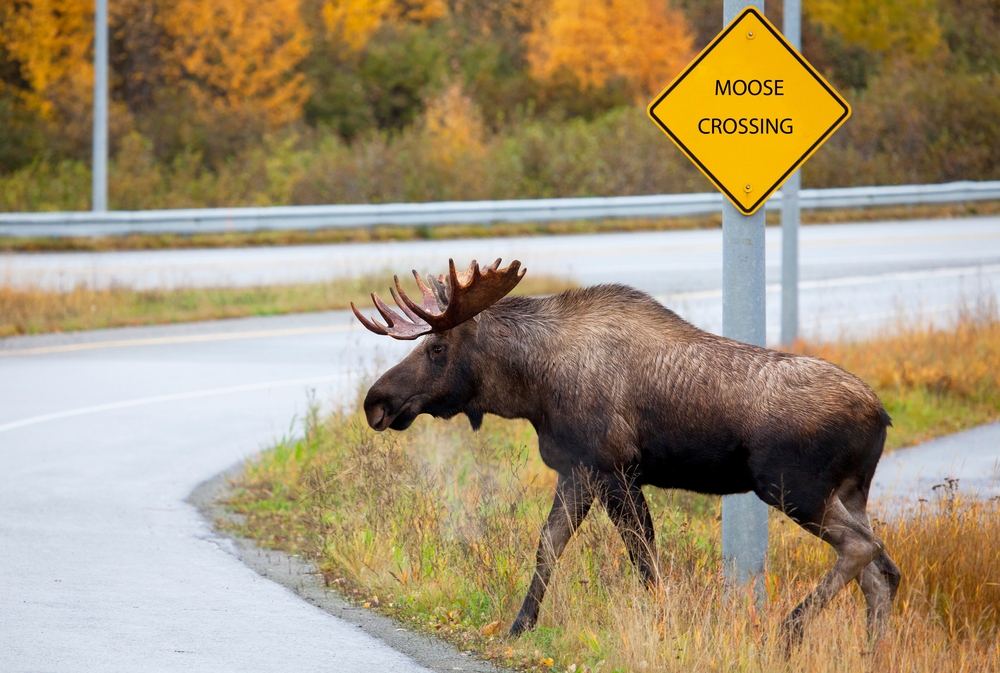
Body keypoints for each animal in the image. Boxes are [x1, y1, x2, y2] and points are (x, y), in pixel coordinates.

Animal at [351, 258, 900, 647]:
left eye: (437, 349)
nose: (376, 402)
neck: (532, 389)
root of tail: (881, 417)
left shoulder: (613, 470)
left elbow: (643, 558)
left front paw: (667, 624)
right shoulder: (576, 471)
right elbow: (548, 545)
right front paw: (518, 627)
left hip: (794, 488)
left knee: (863, 550)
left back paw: (790, 629)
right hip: (850, 493)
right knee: (883, 574)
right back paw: (871, 651)